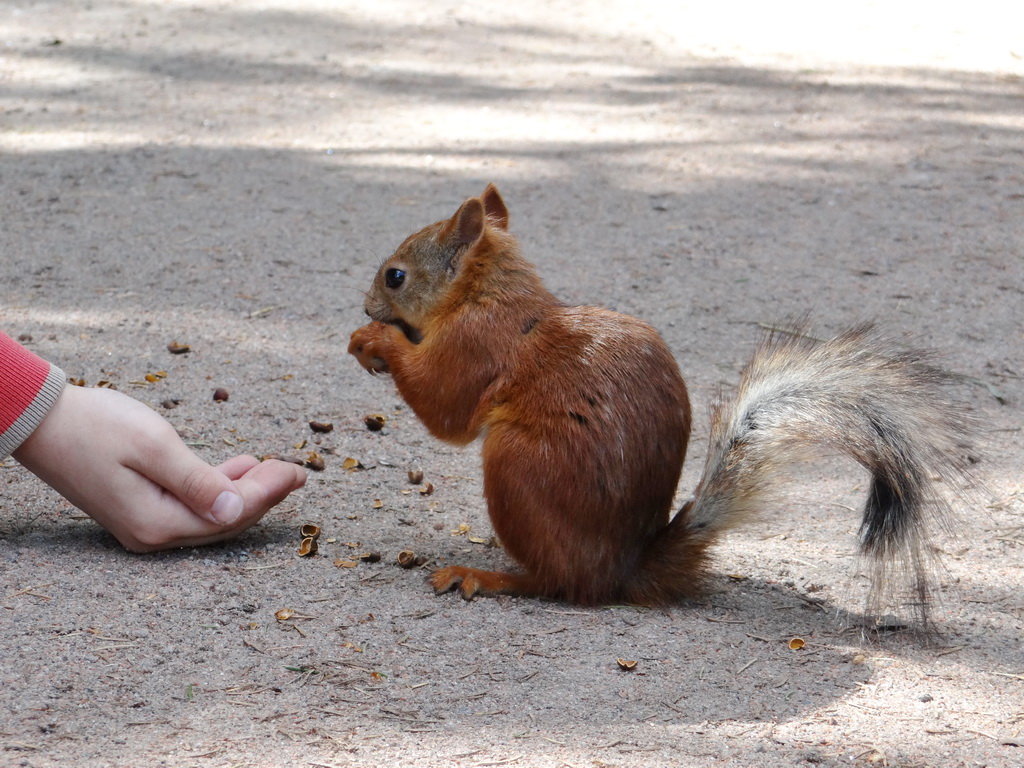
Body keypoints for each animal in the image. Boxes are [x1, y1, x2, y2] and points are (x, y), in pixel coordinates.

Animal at [348, 185, 970, 626]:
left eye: (396, 276)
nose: (368, 304)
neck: (488, 295)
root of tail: (622, 570)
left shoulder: (475, 348)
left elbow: (444, 407)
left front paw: (373, 342)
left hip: (517, 467)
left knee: (563, 586)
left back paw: (485, 575)